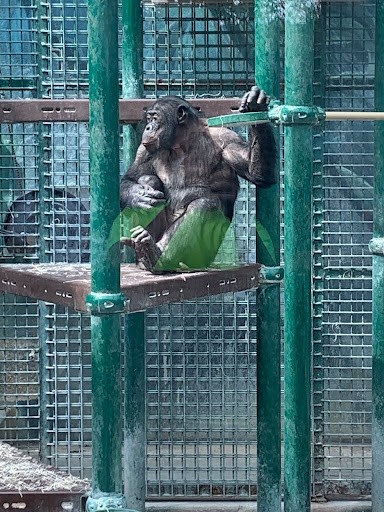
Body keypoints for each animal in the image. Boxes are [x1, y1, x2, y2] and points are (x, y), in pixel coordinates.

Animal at [120, 86, 276, 274]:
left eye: (156, 118)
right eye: (149, 118)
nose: (149, 127)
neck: (181, 143)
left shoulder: (226, 137)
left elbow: (256, 173)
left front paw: (256, 105)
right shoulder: (143, 150)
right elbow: (130, 178)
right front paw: (138, 196)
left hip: (202, 256)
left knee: (204, 205)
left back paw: (156, 256)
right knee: (147, 179)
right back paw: (145, 256)